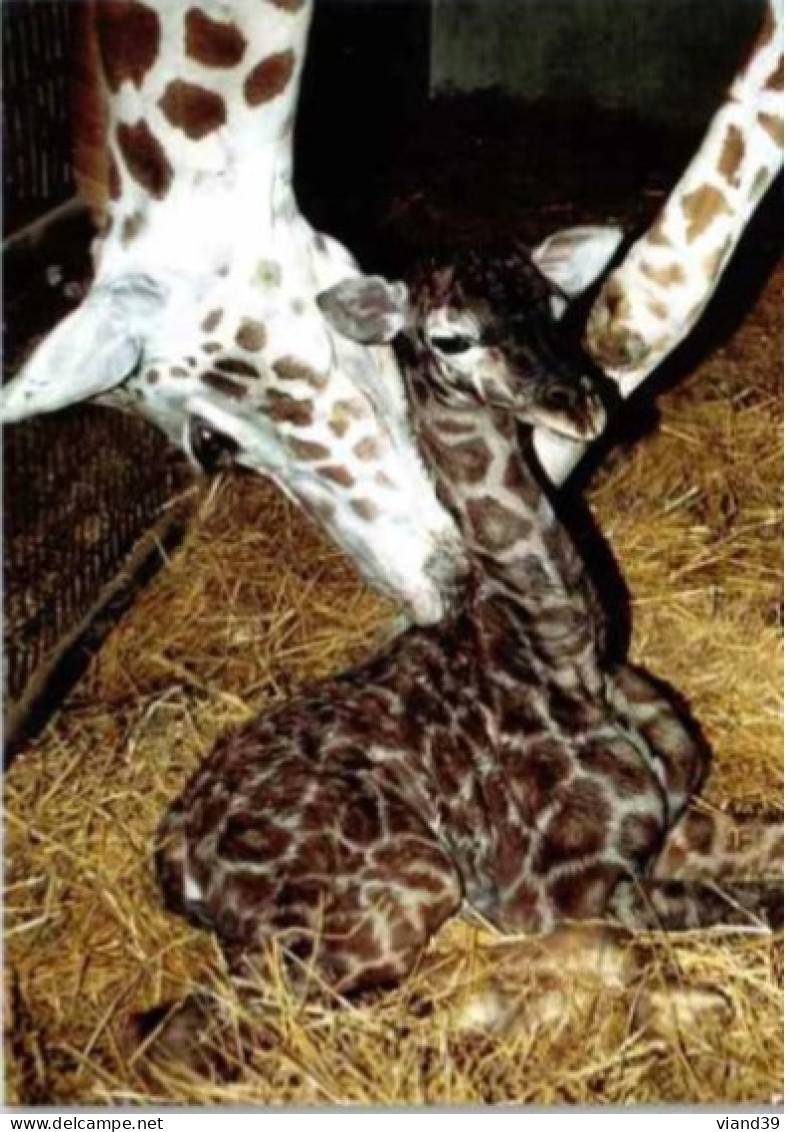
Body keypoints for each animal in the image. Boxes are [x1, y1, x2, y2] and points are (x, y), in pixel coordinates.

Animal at [144, 234, 778, 1064]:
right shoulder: (557, 886)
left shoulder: (671, 820)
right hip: (405, 881)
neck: (561, 646)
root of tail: (172, 862)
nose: (581, 401)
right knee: (224, 1025)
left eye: (550, 303)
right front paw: (687, 1002)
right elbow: (697, 918)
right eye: (450, 337)